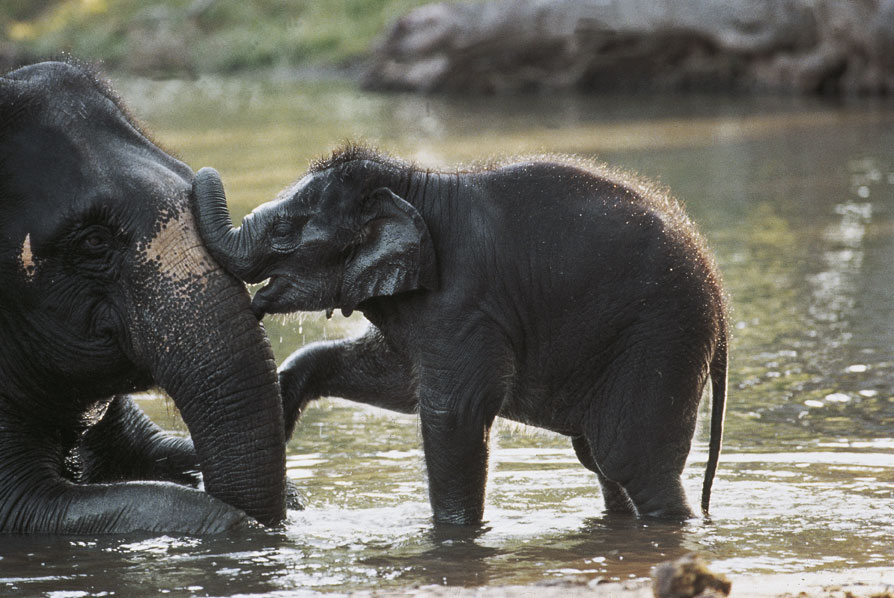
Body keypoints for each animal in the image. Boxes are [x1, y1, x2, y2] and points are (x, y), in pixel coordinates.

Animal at [194, 145, 728, 528]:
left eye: (285, 230)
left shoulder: (464, 304)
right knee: (599, 461)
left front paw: (454, 535)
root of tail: (720, 299)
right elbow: (396, 382)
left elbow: (454, 413)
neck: (410, 184)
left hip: (662, 337)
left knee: (632, 463)